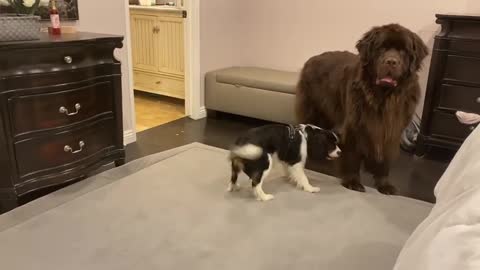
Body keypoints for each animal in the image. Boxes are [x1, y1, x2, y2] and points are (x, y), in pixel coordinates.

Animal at [296, 24, 428, 194]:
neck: (383, 98)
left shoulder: (391, 130)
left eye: (403, 51)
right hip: (314, 111)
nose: (391, 61)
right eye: (381, 48)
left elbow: (384, 159)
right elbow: (353, 155)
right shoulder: (355, 127)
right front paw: (352, 181)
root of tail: (312, 59)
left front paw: (384, 184)